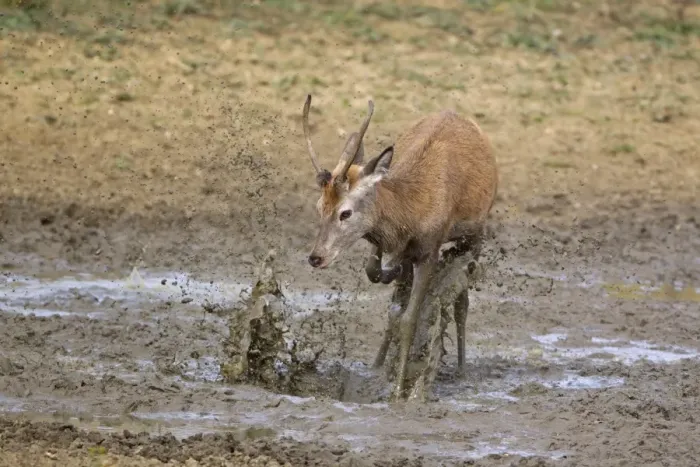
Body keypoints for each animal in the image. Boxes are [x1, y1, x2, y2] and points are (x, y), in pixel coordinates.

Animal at [302, 94, 498, 400]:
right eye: (319, 206)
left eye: (345, 212)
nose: (316, 257)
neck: (412, 208)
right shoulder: (405, 250)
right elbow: (390, 300)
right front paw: (385, 374)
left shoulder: (430, 251)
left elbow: (409, 320)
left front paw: (398, 392)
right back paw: (378, 363)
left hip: (477, 232)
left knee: (462, 301)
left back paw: (462, 370)